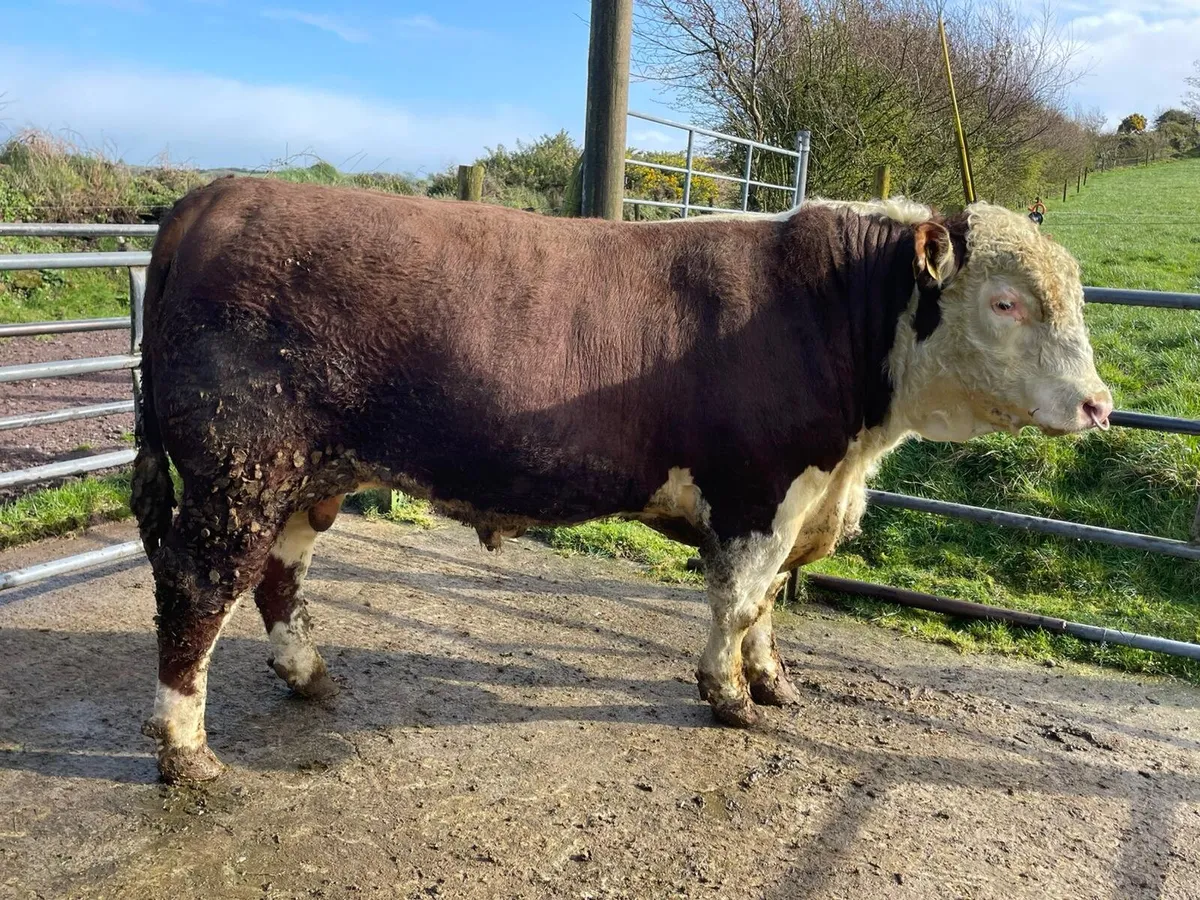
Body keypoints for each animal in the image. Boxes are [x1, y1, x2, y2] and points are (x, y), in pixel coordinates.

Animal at [132, 177, 1112, 783]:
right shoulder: (755, 491)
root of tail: (216, 196)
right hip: (237, 471)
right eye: (1006, 302)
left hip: (302, 476)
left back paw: (307, 673)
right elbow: (739, 601)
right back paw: (186, 751)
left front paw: (772, 680)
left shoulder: (799, 497)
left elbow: (768, 603)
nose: (1100, 404)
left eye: (1077, 299)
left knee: (279, 575)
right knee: (197, 587)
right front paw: (730, 696)